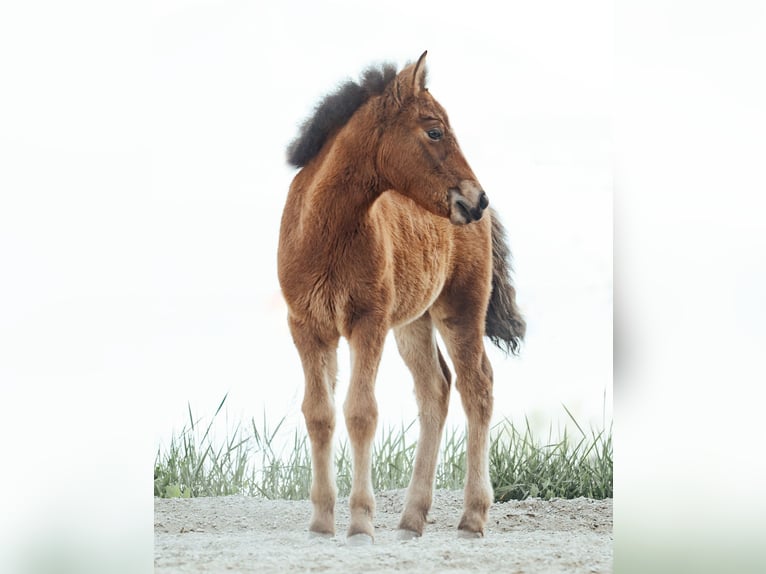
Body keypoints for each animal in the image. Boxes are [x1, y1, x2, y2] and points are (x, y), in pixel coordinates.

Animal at [277, 51, 525, 543]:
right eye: (435, 131)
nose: (477, 199)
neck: (325, 233)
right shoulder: (307, 326)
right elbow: (319, 414)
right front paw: (321, 524)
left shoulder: (367, 322)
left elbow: (360, 412)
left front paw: (360, 524)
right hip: (414, 321)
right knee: (436, 389)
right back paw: (412, 519)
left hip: (460, 309)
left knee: (477, 387)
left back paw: (472, 517)